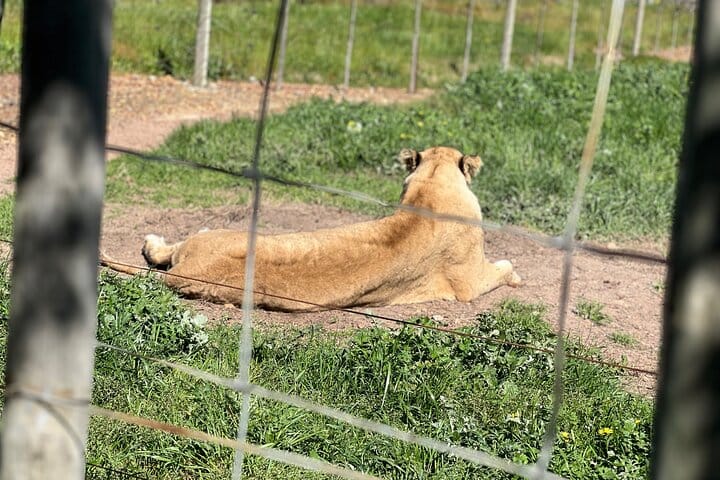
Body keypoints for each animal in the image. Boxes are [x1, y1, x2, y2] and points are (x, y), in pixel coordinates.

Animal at [101, 146, 520, 311]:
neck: (431, 189)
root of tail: (189, 272)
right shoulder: (468, 283)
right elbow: (503, 268)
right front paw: (515, 273)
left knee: (165, 253)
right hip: (215, 236)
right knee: (171, 247)